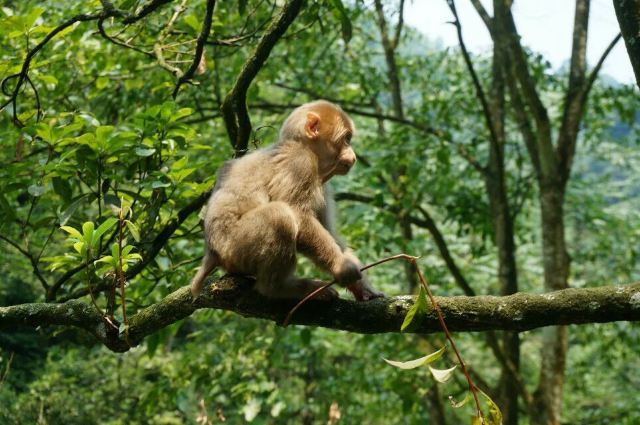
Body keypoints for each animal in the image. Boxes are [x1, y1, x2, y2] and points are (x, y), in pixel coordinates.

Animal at [188, 99, 382, 302]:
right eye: (346, 139)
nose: (353, 156)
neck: (302, 147)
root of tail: (211, 252)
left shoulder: (322, 183)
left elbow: (329, 231)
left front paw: (362, 286)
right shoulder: (300, 163)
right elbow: (298, 214)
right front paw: (342, 267)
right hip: (233, 248)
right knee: (279, 216)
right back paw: (278, 288)